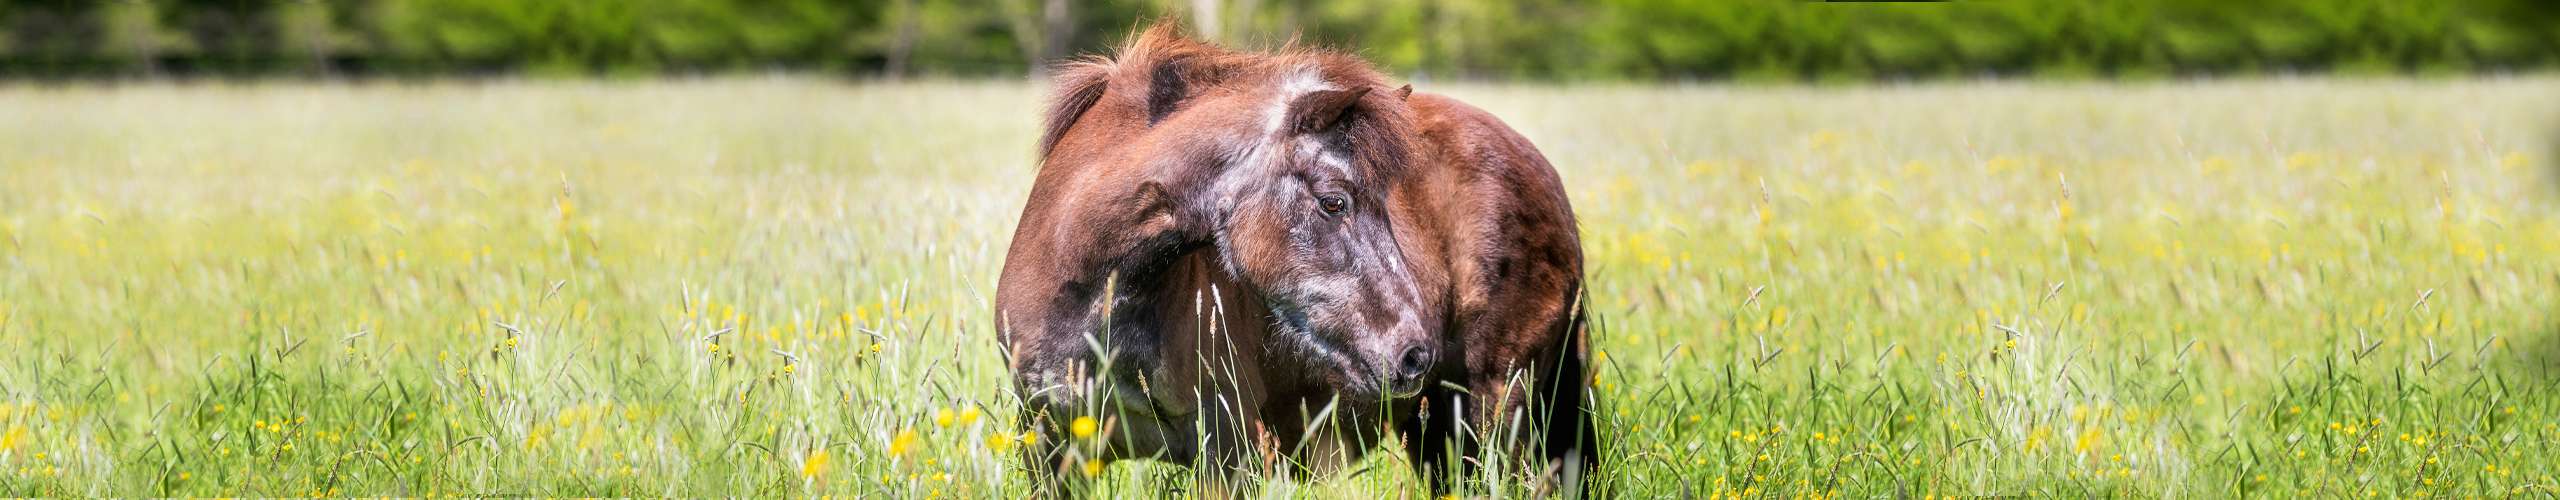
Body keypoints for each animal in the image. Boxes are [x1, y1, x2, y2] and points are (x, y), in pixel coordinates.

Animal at [988, 22, 1587, 494]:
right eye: (1334, 201)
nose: (1416, 354)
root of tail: (1544, 173)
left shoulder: (1230, 456)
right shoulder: (1049, 453)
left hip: (1493, 415)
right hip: (1437, 431)